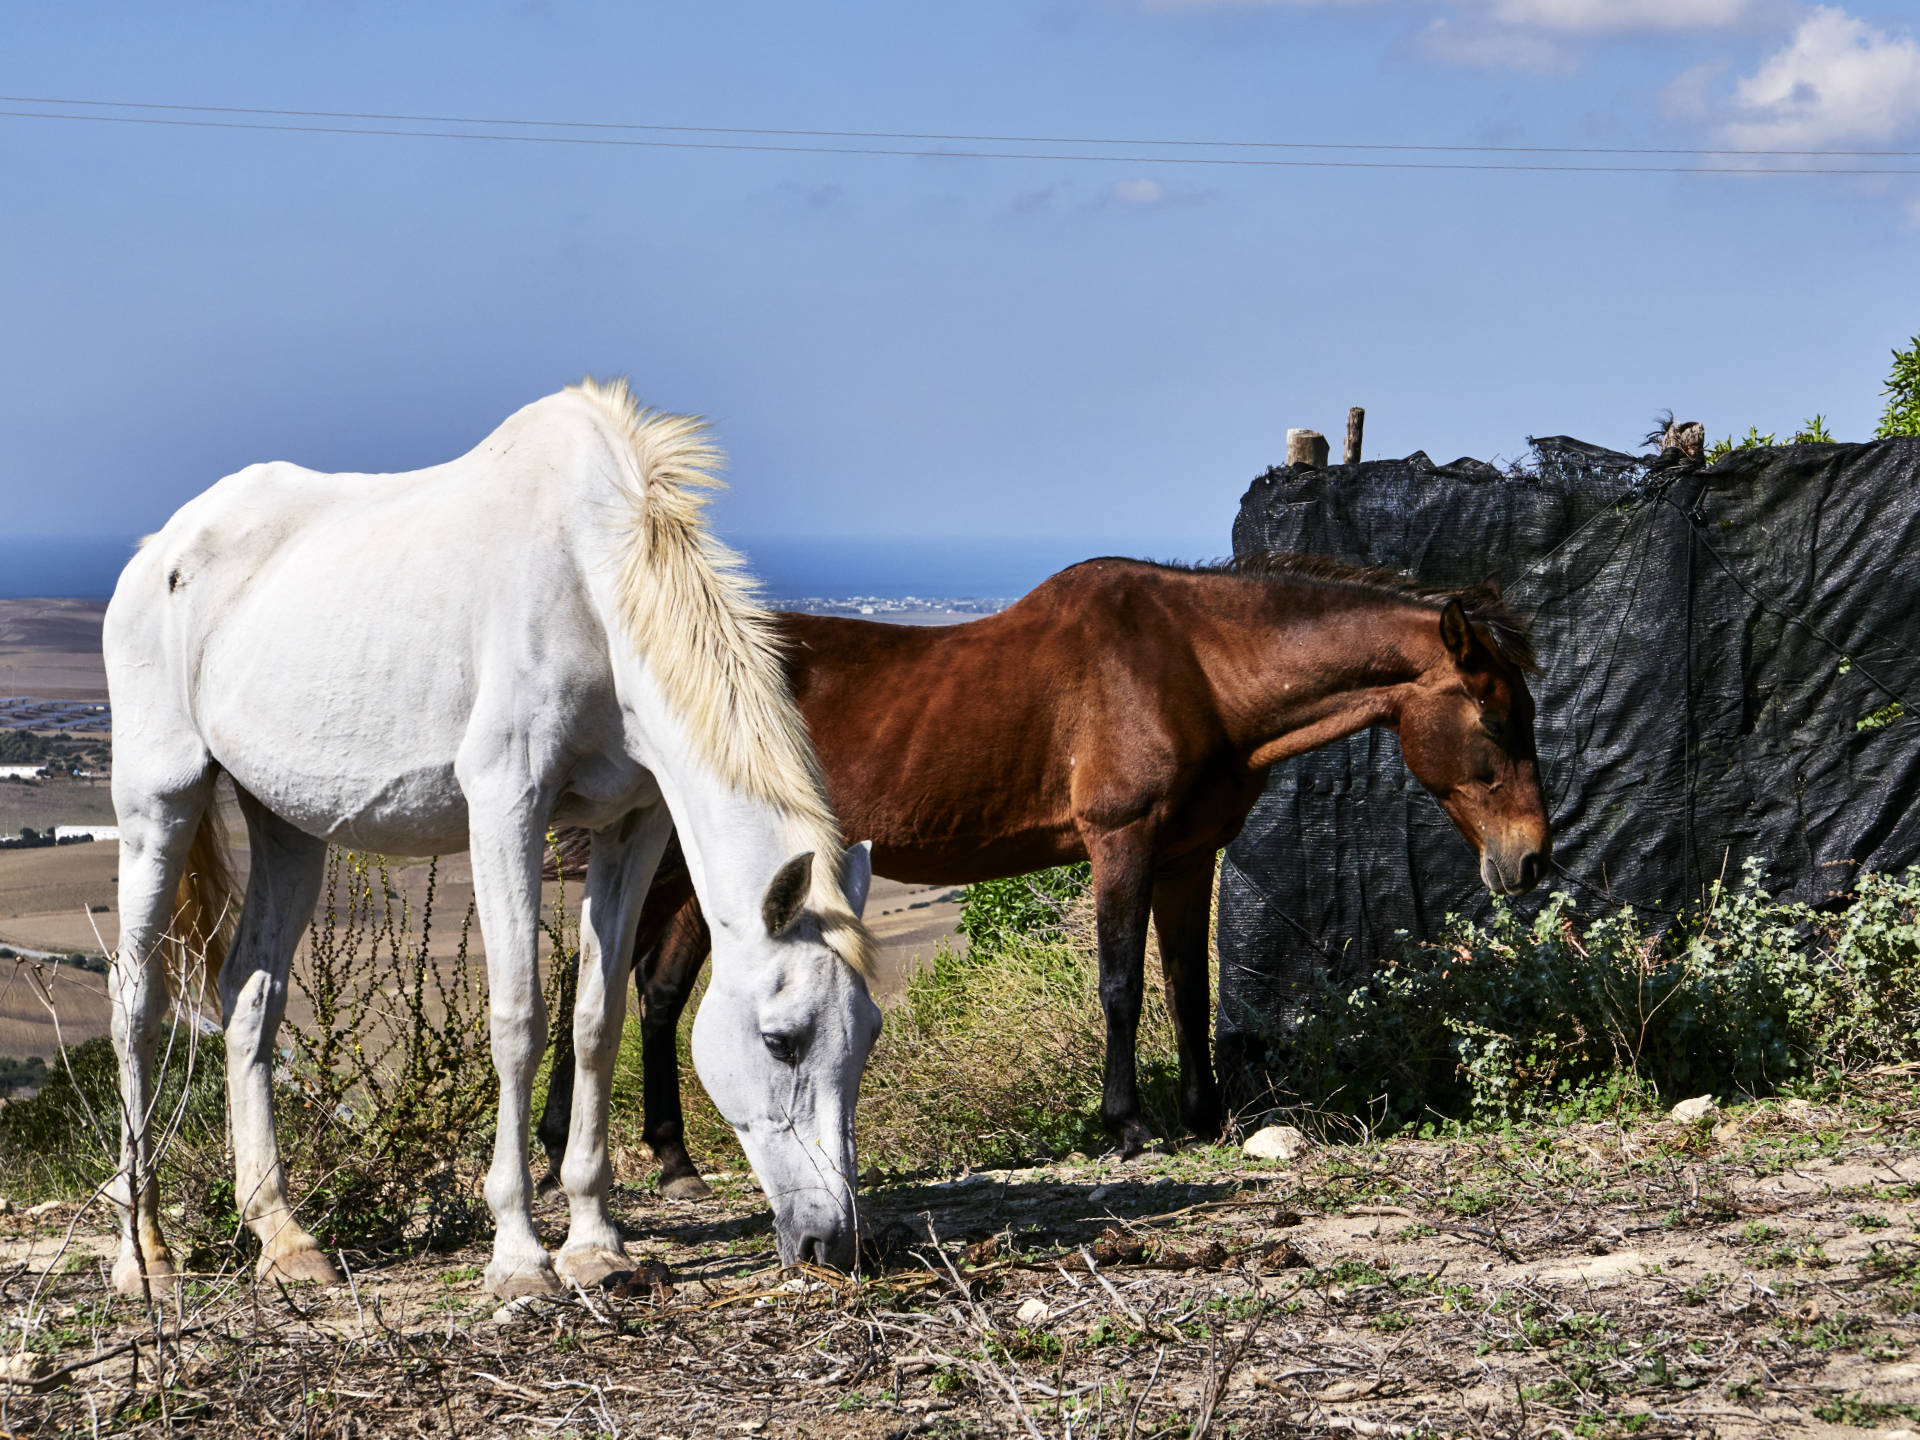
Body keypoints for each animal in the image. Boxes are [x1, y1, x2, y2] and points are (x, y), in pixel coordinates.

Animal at [107, 378, 883, 1305]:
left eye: (869, 1036)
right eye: (781, 1039)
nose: (833, 1243)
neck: (590, 581)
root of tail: (160, 549)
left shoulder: (633, 822)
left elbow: (597, 1020)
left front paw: (595, 1244)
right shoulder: (507, 801)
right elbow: (519, 1018)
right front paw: (518, 1254)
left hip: (287, 824)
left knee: (248, 1002)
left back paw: (284, 1237)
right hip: (159, 800)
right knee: (136, 1004)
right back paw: (143, 1254)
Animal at [537, 552, 1543, 1198]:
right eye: (1496, 720)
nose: (1529, 858)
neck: (1195, 669)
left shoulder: (1187, 857)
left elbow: (1188, 987)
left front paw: (1207, 1116)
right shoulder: (1123, 843)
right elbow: (1123, 986)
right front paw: (1128, 1126)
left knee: (654, 993)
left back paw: (669, 1160)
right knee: (598, 985)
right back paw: (559, 1159)